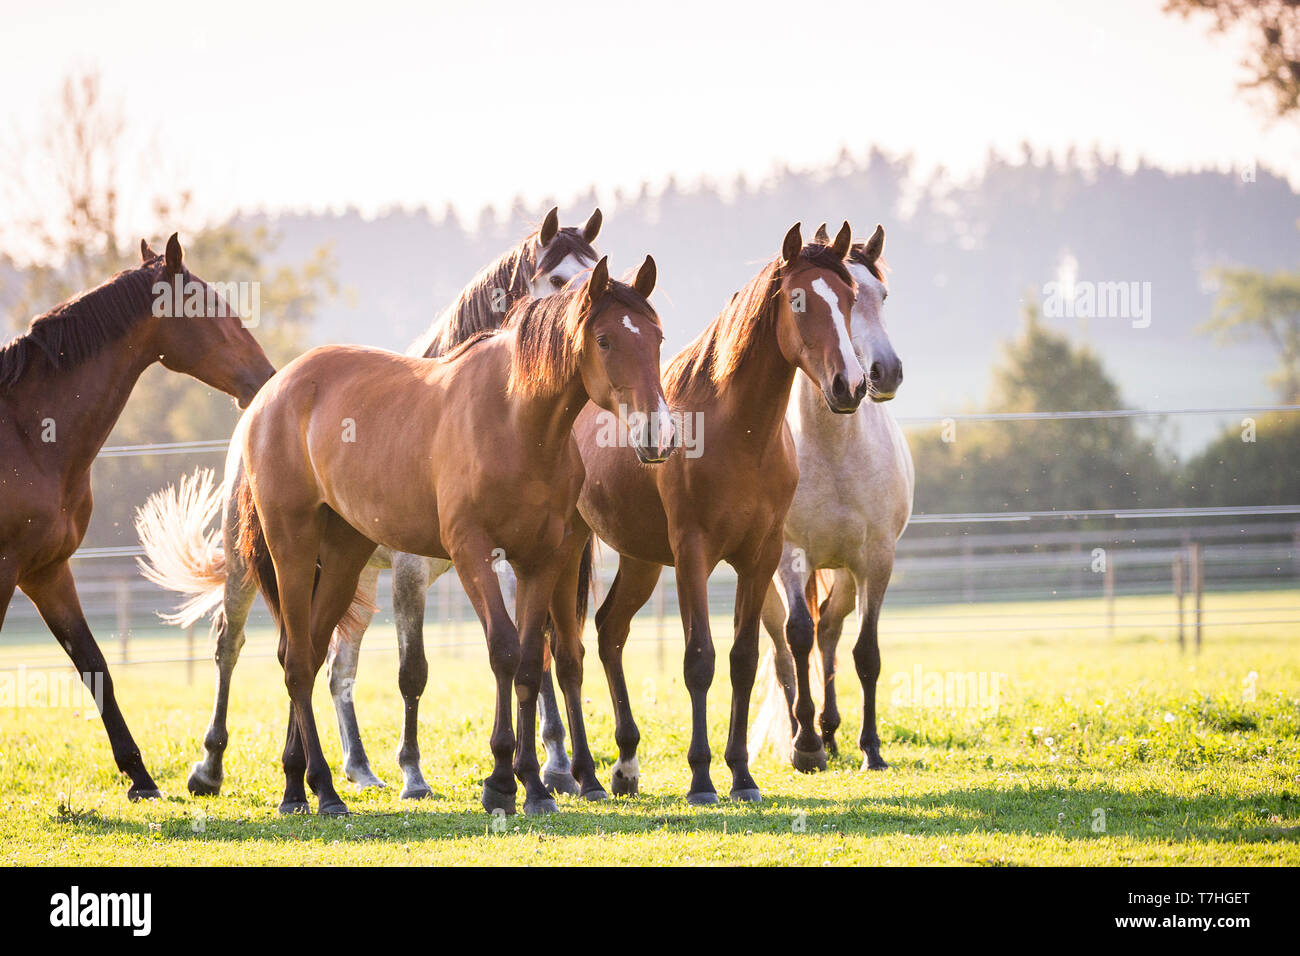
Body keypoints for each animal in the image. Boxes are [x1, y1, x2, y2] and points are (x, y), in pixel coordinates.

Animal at [0, 238, 274, 801]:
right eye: (212, 307)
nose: (265, 378)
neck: (27, 434)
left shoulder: (45, 571)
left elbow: (95, 663)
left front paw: (140, 778)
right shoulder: (5, 569)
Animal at [230, 256, 670, 816]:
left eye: (657, 337)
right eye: (606, 339)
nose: (658, 435)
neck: (515, 420)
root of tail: (271, 393)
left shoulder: (540, 560)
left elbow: (531, 663)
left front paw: (532, 784)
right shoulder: (471, 553)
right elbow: (502, 650)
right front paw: (501, 781)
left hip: (345, 558)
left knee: (306, 652)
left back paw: (298, 785)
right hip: (293, 547)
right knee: (299, 662)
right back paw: (321, 791)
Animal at [566, 221, 863, 806]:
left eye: (850, 298)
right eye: (799, 300)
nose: (851, 385)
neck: (738, 432)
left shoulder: (760, 556)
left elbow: (742, 660)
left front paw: (742, 776)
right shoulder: (693, 555)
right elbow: (698, 660)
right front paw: (702, 779)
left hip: (640, 560)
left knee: (610, 631)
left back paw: (625, 766)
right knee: (562, 651)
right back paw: (580, 774)